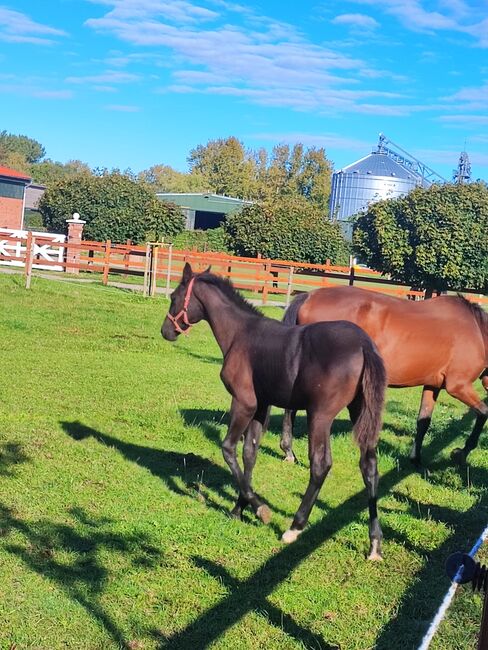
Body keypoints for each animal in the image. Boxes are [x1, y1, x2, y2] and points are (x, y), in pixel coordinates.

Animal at [162, 264, 386, 556]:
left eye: (174, 297)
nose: (166, 331)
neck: (240, 334)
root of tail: (363, 344)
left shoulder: (243, 402)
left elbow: (228, 448)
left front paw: (259, 508)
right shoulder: (261, 405)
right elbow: (249, 453)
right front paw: (238, 508)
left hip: (320, 416)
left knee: (320, 465)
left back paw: (294, 527)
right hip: (360, 412)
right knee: (369, 467)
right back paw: (374, 543)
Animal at [278, 286, 488, 464]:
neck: (477, 331)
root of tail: (309, 296)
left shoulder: (433, 385)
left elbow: (423, 421)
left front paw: (415, 458)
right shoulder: (458, 386)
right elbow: (484, 413)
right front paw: (461, 453)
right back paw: (289, 451)